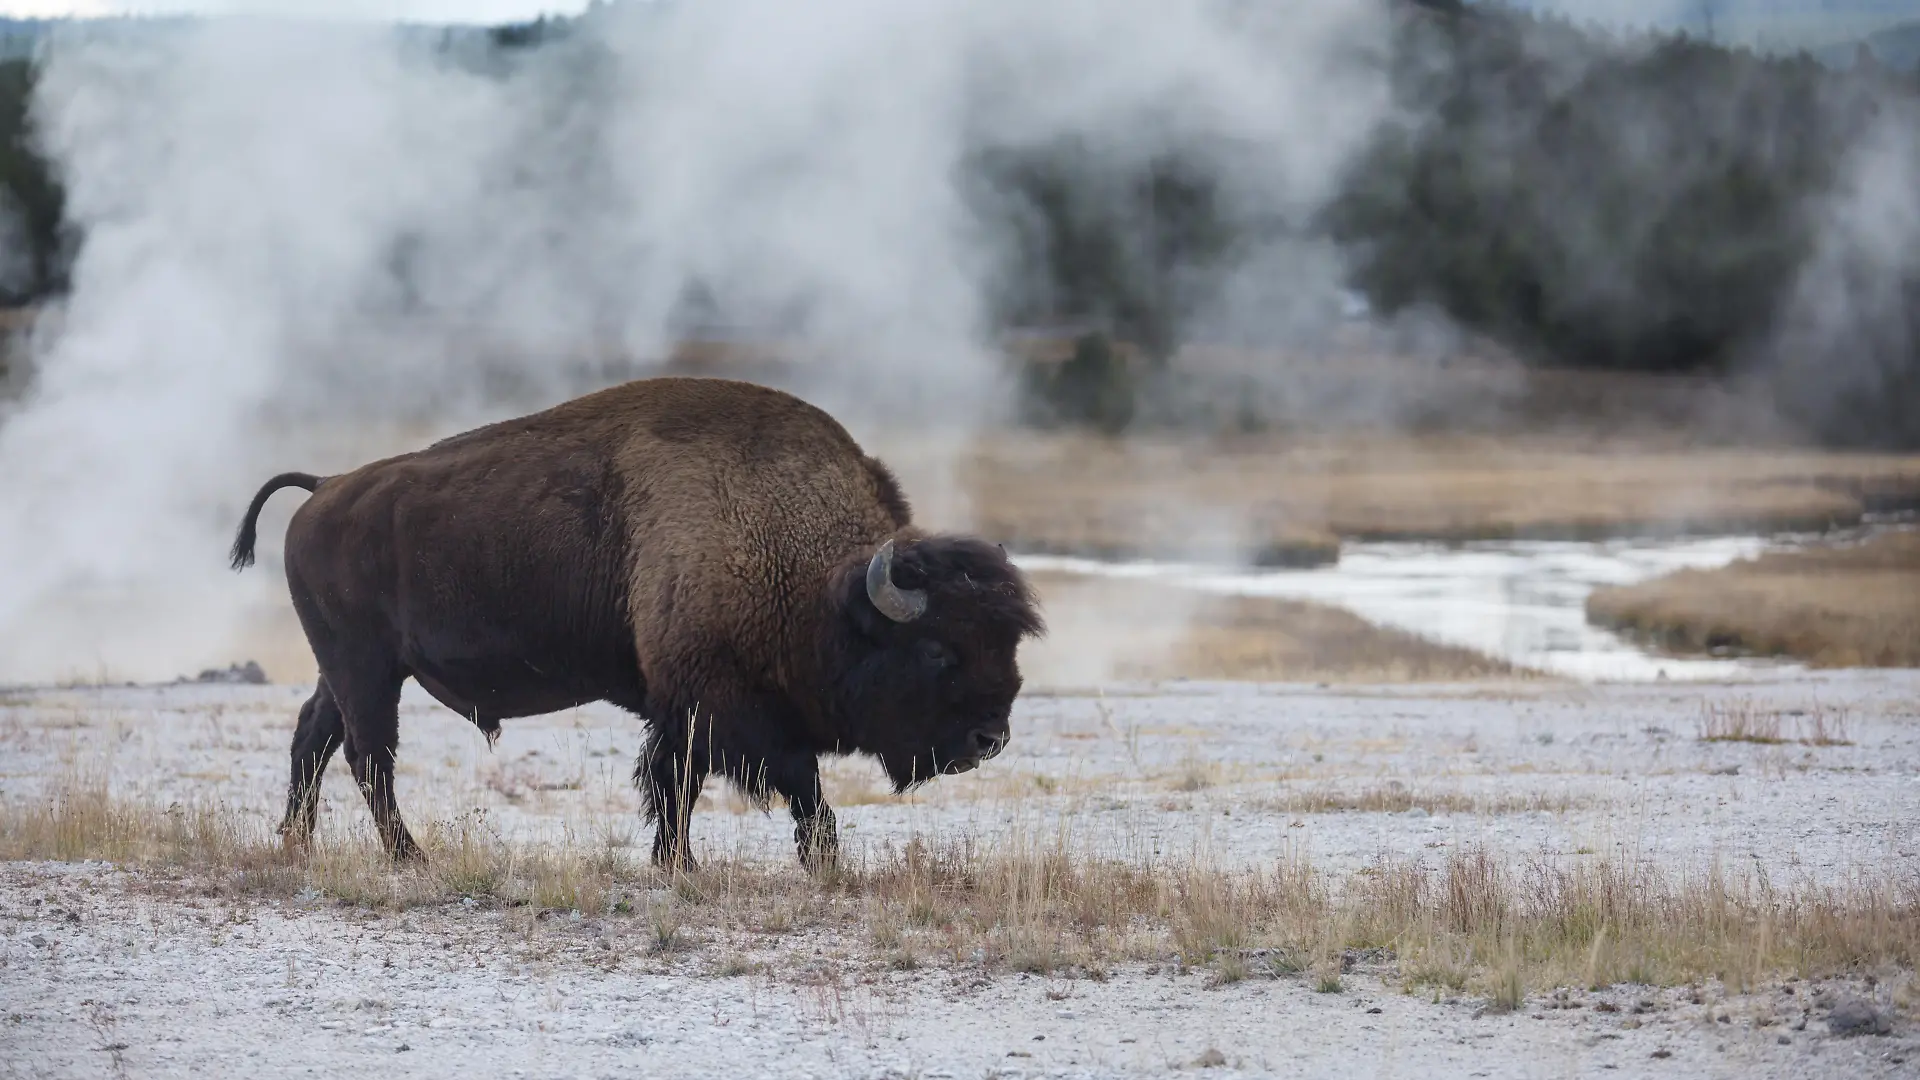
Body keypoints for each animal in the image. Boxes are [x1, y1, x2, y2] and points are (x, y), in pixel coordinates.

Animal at [229, 376, 1044, 868]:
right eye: (936, 650)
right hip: (366, 670)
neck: (822, 585)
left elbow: (680, 785)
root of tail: (326, 486)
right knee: (369, 755)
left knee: (315, 737)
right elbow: (781, 784)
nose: (990, 738)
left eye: (1005, 641)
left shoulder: (683, 708)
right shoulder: (722, 707)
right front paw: (794, 862)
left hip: (349, 669)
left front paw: (680, 862)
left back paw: (299, 843)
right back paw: (409, 857)